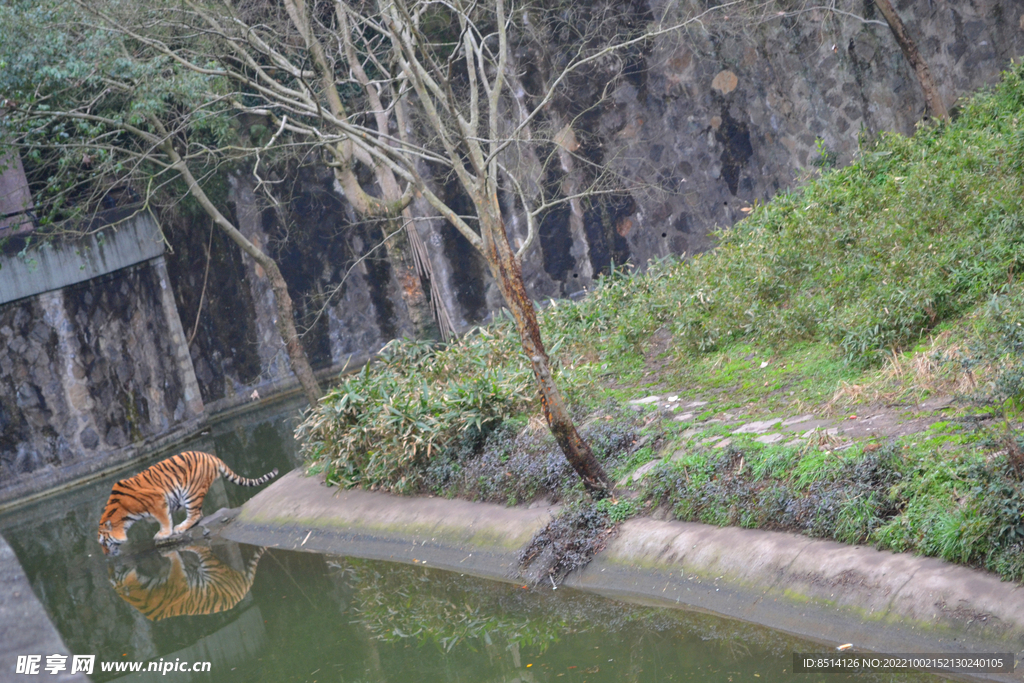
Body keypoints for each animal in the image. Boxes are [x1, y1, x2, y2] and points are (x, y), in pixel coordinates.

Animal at [96, 448, 276, 557]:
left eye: (104, 542)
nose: (105, 554)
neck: (122, 514)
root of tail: (211, 456)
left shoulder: (158, 501)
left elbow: (164, 520)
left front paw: (163, 533)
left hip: (191, 492)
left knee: (196, 514)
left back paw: (180, 527)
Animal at [110, 548, 266, 622]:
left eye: (113, 574)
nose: (110, 569)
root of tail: (245, 586)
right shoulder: (178, 580)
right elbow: (176, 561)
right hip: (212, 567)